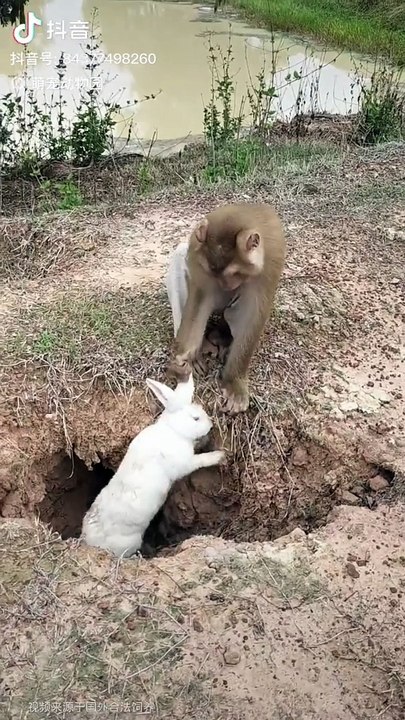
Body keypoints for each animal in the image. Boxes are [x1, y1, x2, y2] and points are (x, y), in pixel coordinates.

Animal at [80, 373, 225, 558]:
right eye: (196, 418)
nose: (211, 426)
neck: (173, 430)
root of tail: (88, 540)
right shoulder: (185, 463)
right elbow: (200, 461)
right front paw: (220, 456)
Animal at [165, 202, 286, 415]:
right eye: (215, 272)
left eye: (234, 273)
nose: (226, 286)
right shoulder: (199, 258)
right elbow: (201, 298)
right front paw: (187, 357)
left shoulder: (269, 264)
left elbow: (253, 314)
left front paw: (234, 383)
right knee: (180, 255)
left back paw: (221, 336)